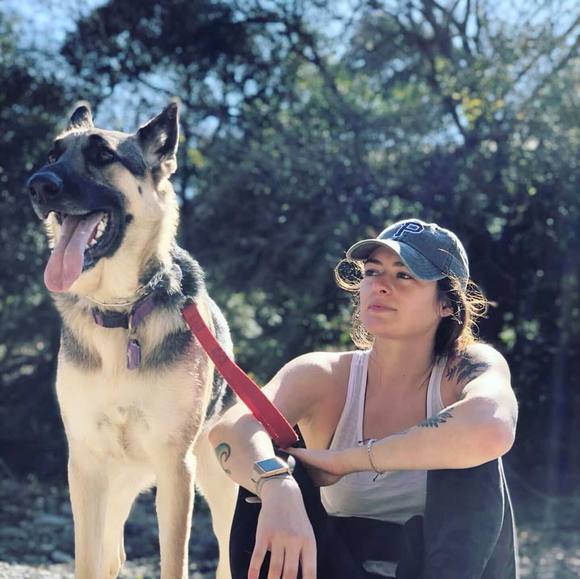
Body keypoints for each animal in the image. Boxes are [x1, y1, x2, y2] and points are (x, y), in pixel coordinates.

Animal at [27, 102, 238, 579]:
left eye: (103, 155)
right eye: (52, 154)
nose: (38, 184)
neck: (121, 314)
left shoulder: (176, 468)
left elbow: (174, 560)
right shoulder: (85, 467)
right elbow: (87, 561)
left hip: (218, 483)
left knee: (229, 554)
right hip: (114, 486)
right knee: (112, 555)